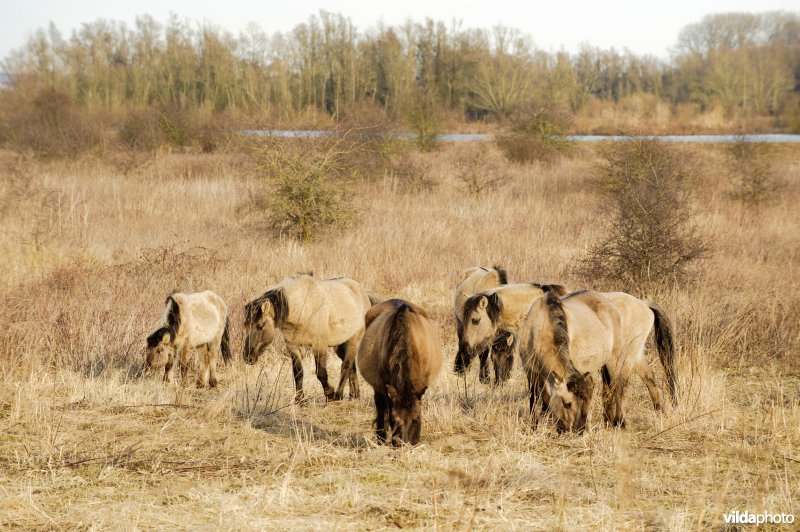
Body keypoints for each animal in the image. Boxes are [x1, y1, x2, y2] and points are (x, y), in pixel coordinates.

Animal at [242, 276, 380, 402]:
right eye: (246, 326)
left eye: (260, 326)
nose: (248, 357)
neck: (304, 308)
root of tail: (362, 292)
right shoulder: (292, 345)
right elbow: (298, 371)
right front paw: (299, 398)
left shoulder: (319, 345)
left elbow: (321, 373)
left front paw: (329, 395)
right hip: (339, 345)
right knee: (351, 366)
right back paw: (354, 395)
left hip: (353, 341)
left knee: (345, 366)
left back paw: (339, 395)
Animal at [462, 286, 676, 412]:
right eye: (493, 357)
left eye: (475, 320)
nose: (466, 350)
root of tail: (644, 304)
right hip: (635, 356)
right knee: (650, 379)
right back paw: (659, 410)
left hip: (625, 356)